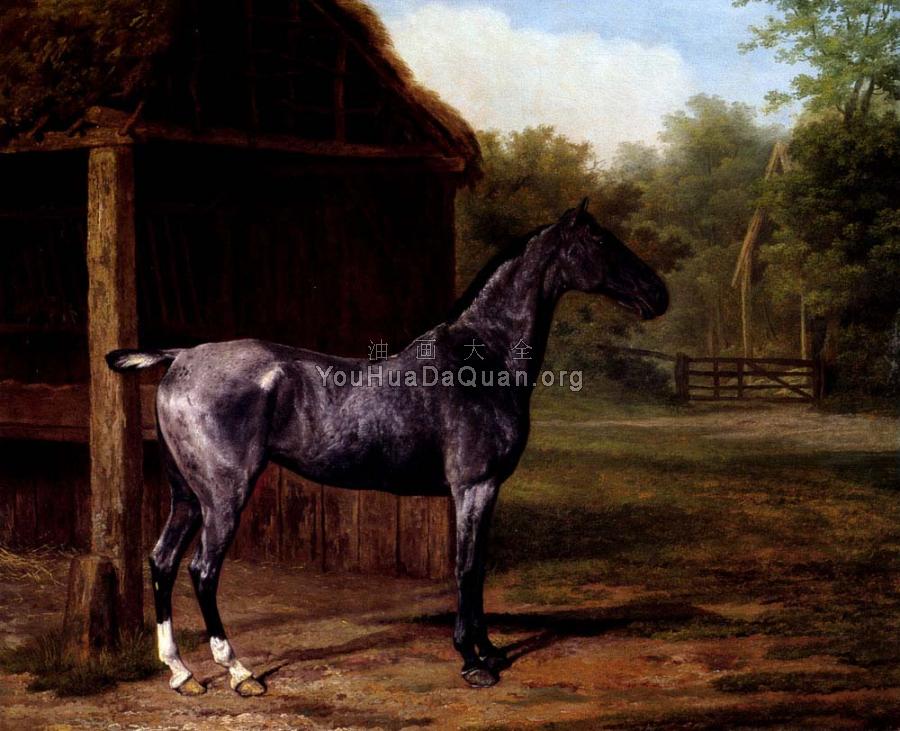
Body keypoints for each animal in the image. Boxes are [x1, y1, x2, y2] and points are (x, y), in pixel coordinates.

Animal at [107, 199, 668, 696]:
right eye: (600, 241)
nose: (658, 294)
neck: (481, 360)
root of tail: (180, 358)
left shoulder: (484, 491)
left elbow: (478, 569)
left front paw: (490, 651)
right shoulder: (474, 487)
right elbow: (467, 568)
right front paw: (473, 662)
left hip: (186, 496)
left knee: (162, 562)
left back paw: (182, 674)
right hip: (223, 497)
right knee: (202, 571)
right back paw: (240, 673)